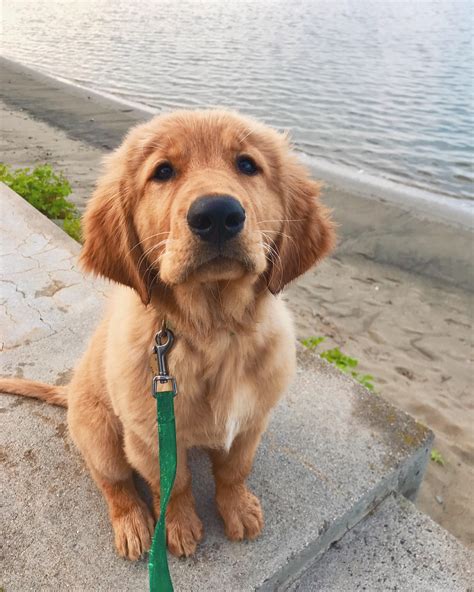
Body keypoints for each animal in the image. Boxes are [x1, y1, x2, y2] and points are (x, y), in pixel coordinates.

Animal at [0, 110, 334, 560]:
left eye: (247, 165)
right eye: (162, 172)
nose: (217, 215)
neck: (214, 332)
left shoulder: (250, 421)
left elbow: (234, 469)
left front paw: (237, 508)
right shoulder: (149, 437)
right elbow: (174, 485)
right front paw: (177, 525)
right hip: (99, 434)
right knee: (113, 483)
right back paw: (133, 524)